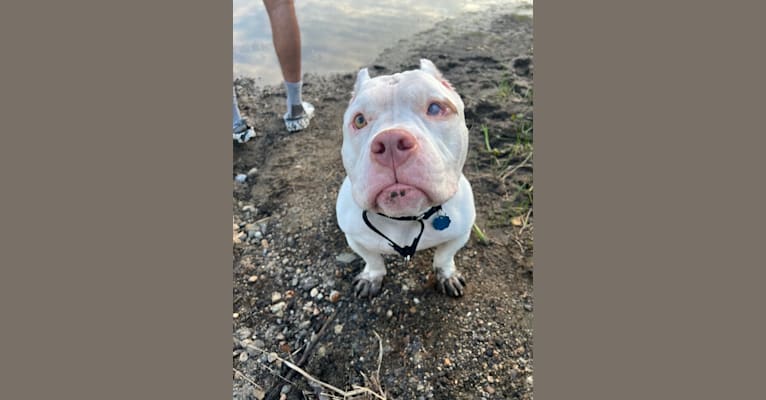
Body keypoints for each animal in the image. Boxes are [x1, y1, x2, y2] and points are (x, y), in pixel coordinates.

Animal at [334, 58, 474, 296]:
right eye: (360, 120)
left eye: (435, 108)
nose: (390, 141)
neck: (405, 218)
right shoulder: (354, 237)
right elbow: (372, 258)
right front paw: (372, 276)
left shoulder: (461, 232)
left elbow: (444, 255)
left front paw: (447, 275)